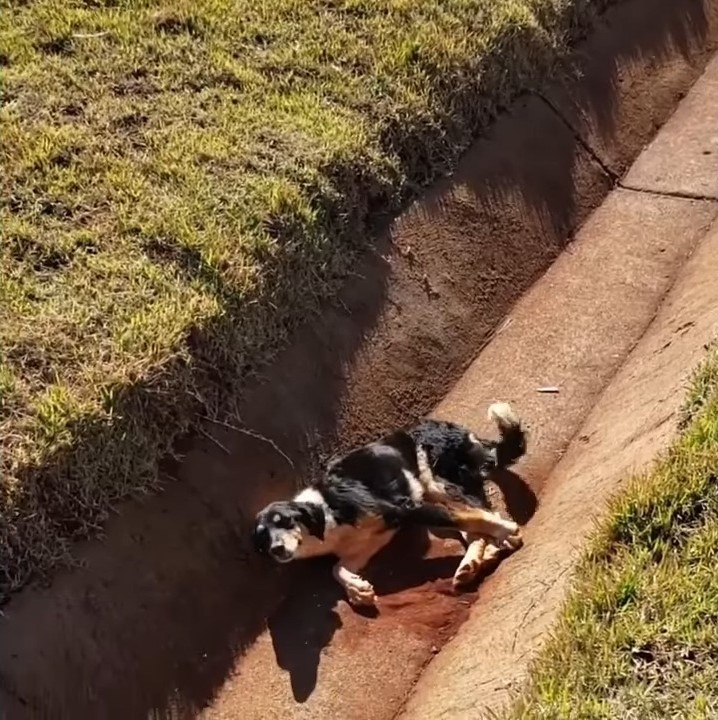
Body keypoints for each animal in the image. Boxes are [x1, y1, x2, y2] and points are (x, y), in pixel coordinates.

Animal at [253, 402, 528, 604]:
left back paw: (498, 540)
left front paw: (507, 530)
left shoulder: (404, 508)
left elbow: (472, 518)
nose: (276, 549)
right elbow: (337, 569)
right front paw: (357, 590)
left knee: (481, 513)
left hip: (437, 485)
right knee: (474, 529)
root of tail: (465, 433)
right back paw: (473, 563)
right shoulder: (367, 544)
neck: (326, 509)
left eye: (284, 521)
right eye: (263, 537)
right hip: (434, 499)